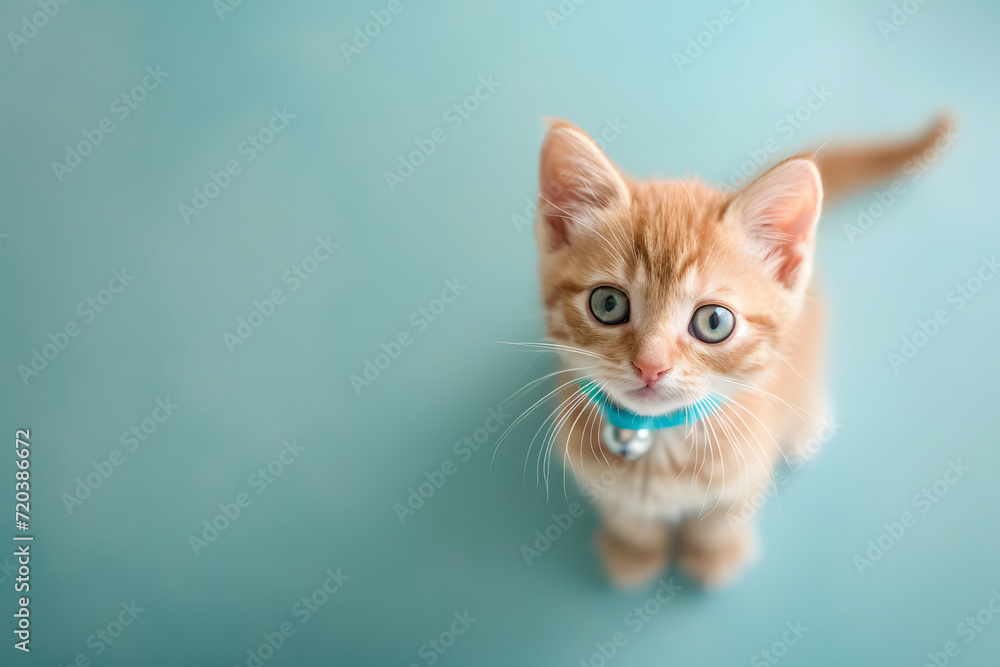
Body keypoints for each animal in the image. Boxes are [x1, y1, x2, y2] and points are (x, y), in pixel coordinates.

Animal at [536, 116, 948, 588]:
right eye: (608, 304)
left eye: (713, 322)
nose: (650, 366)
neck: (659, 447)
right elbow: (626, 514)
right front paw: (634, 552)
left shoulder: (748, 469)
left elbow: (725, 516)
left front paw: (714, 556)